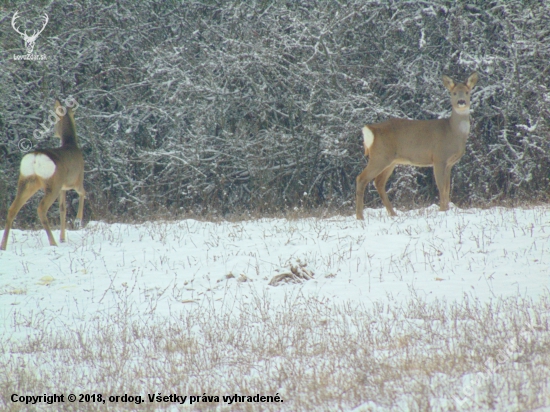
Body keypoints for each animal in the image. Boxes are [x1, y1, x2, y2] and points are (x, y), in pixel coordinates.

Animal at [0, 100, 85, 251]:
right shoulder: (76, 180)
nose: (53, 133)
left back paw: (3, 246)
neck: (71, 144)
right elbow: (83, 194)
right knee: (41, 208)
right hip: (52, 184)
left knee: (12, 209)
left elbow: (62, 209)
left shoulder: (63, 188)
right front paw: (78, 221)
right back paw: (53, 243)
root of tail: (35, 157)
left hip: (26, 182)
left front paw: (63, 237)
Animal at [358, 71, 478, 219]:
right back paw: (360, 217)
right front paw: (442, 211)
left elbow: (447, 187)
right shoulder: (439, 158)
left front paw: (446, 210)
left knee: (378, 182)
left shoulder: (449, 163)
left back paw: (393, 214)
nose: (461, 102)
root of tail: (371, 130)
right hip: (379, 156)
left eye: (467, 92)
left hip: (390, 160)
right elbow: (441, 187)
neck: (453, 132)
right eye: (454, 93)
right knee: (361, 178)